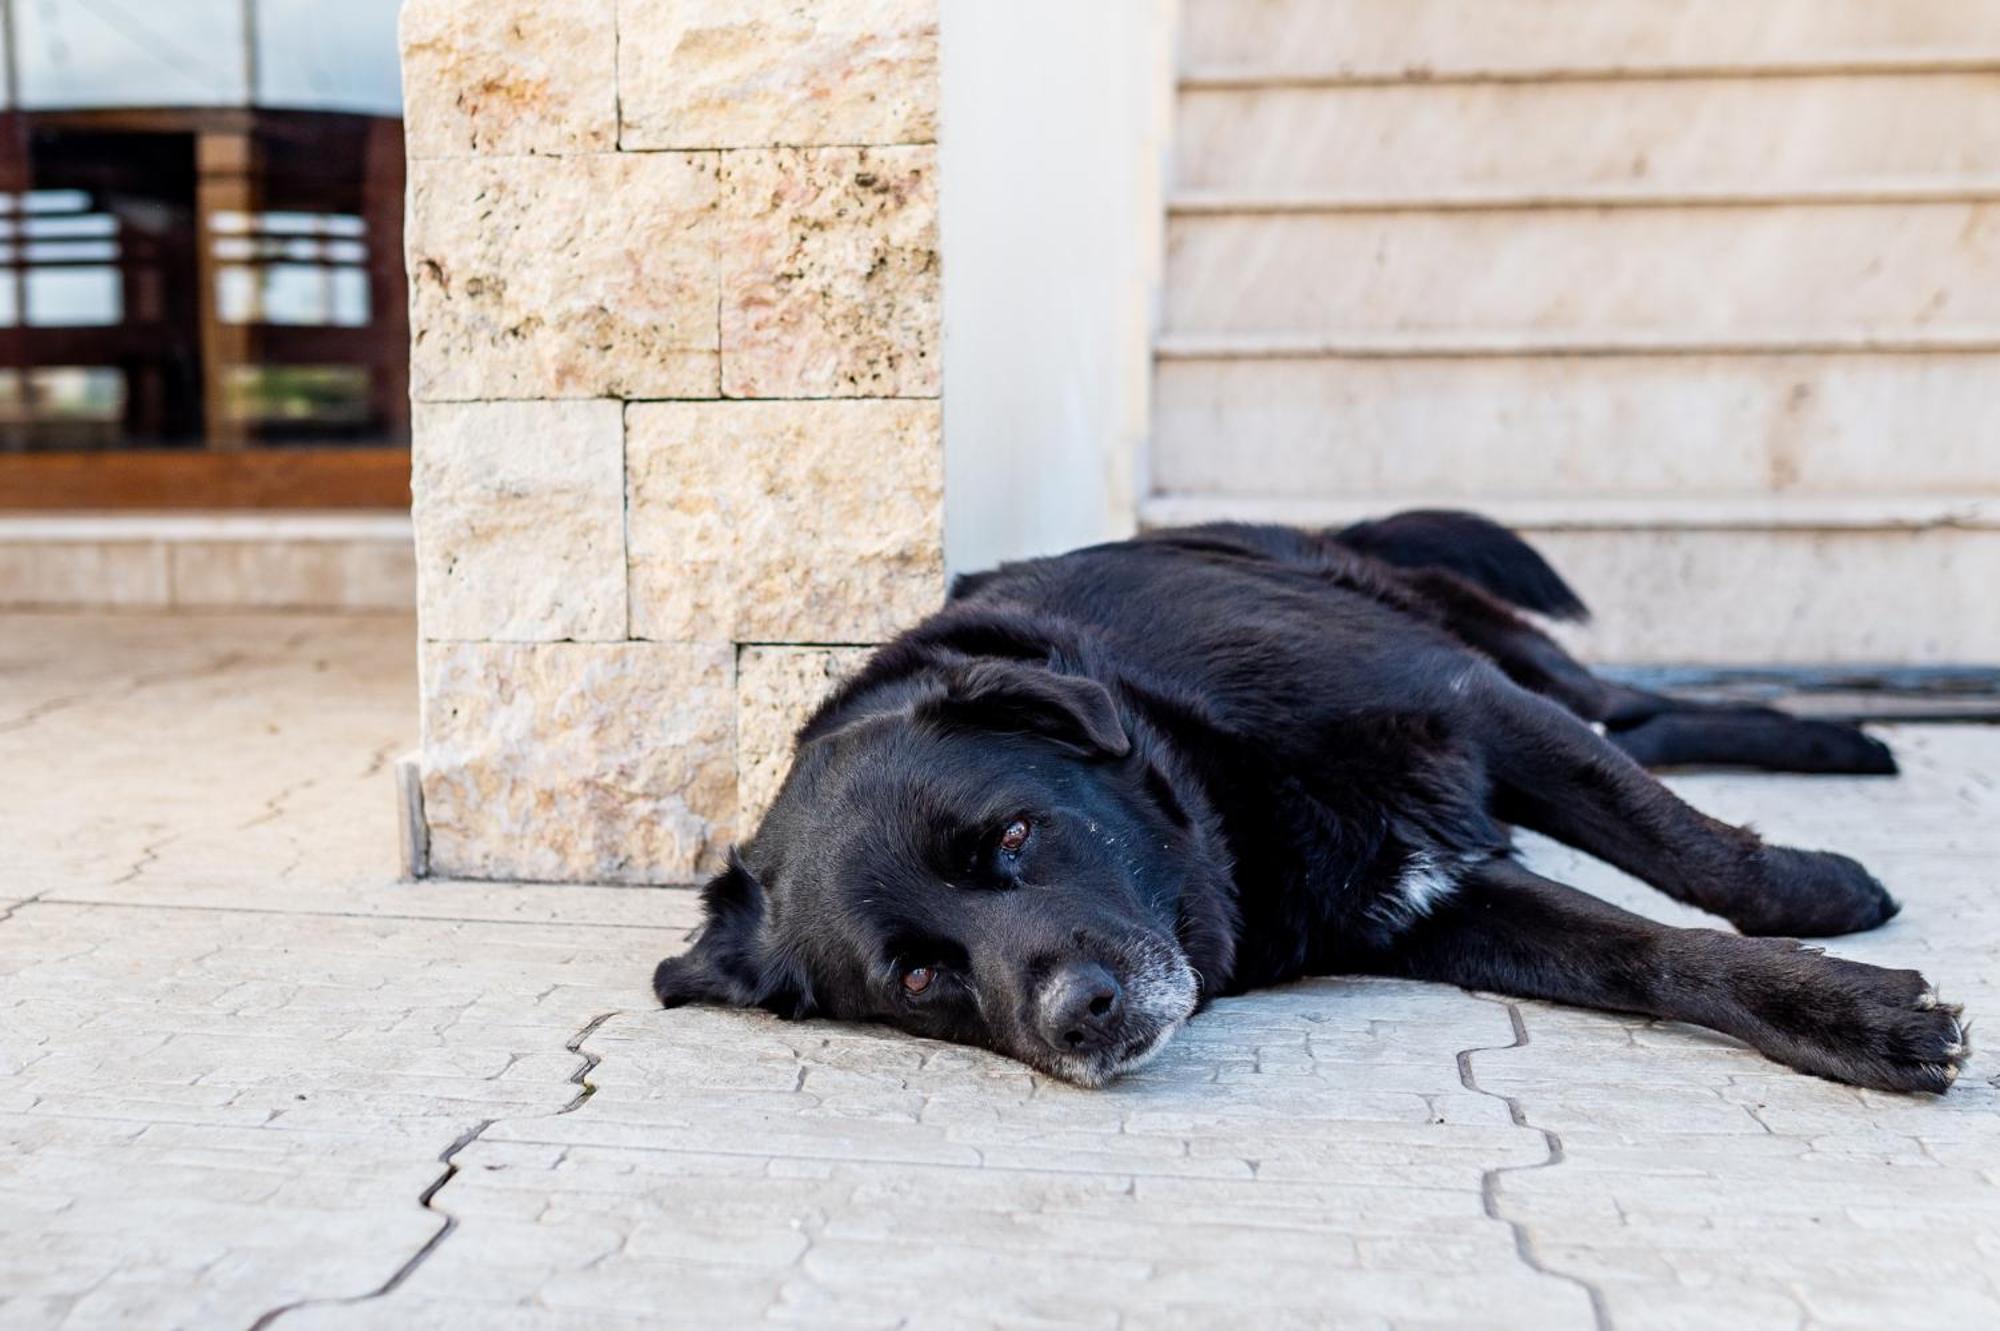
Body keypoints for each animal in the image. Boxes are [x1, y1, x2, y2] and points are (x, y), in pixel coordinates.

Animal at [656, 507, 1968, 1087]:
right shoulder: (1434, 904)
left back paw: (1839, 739)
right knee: (1637, 722)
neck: (1223, 778)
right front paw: (1847, 1016)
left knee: (1626, 706)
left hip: (1505, 656)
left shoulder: (1467, 700)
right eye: (920, 979)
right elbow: (1649, 957)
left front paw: (1825, 911)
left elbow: (1695, 859)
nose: (1078, 1015)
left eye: (1016, 832)